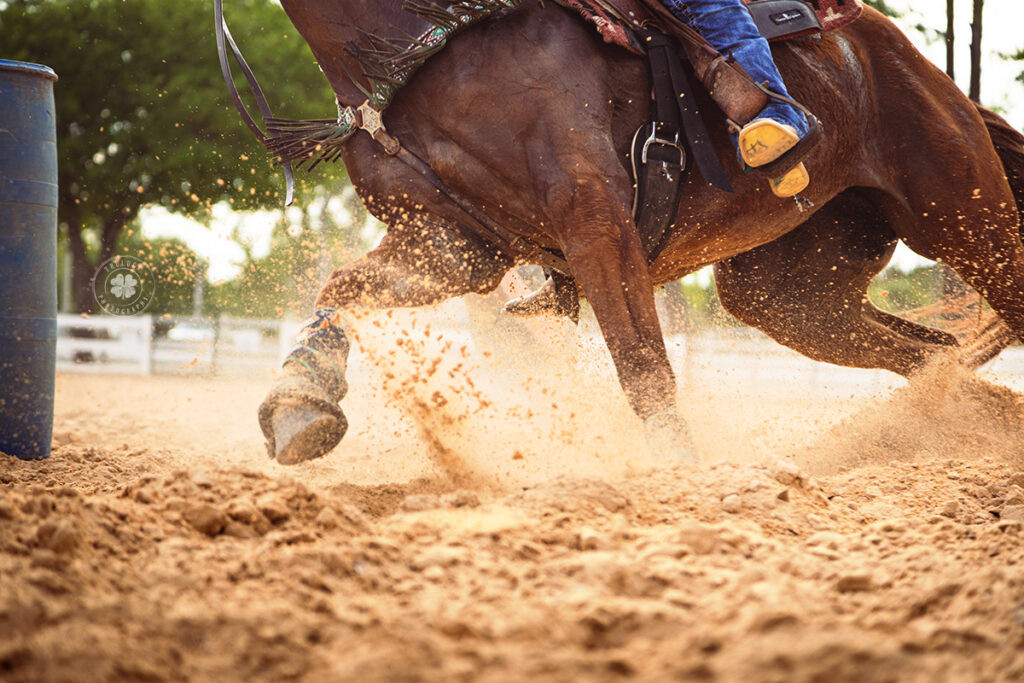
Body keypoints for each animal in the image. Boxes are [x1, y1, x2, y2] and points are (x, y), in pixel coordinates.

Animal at [260, 1, 1024, 464]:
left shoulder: (595, 220)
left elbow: (643, 366)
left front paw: (678, 470)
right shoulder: (455, 245)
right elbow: (342, 289)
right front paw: (299, 403)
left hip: (963, 214)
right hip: (789, 295)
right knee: (932, 355)